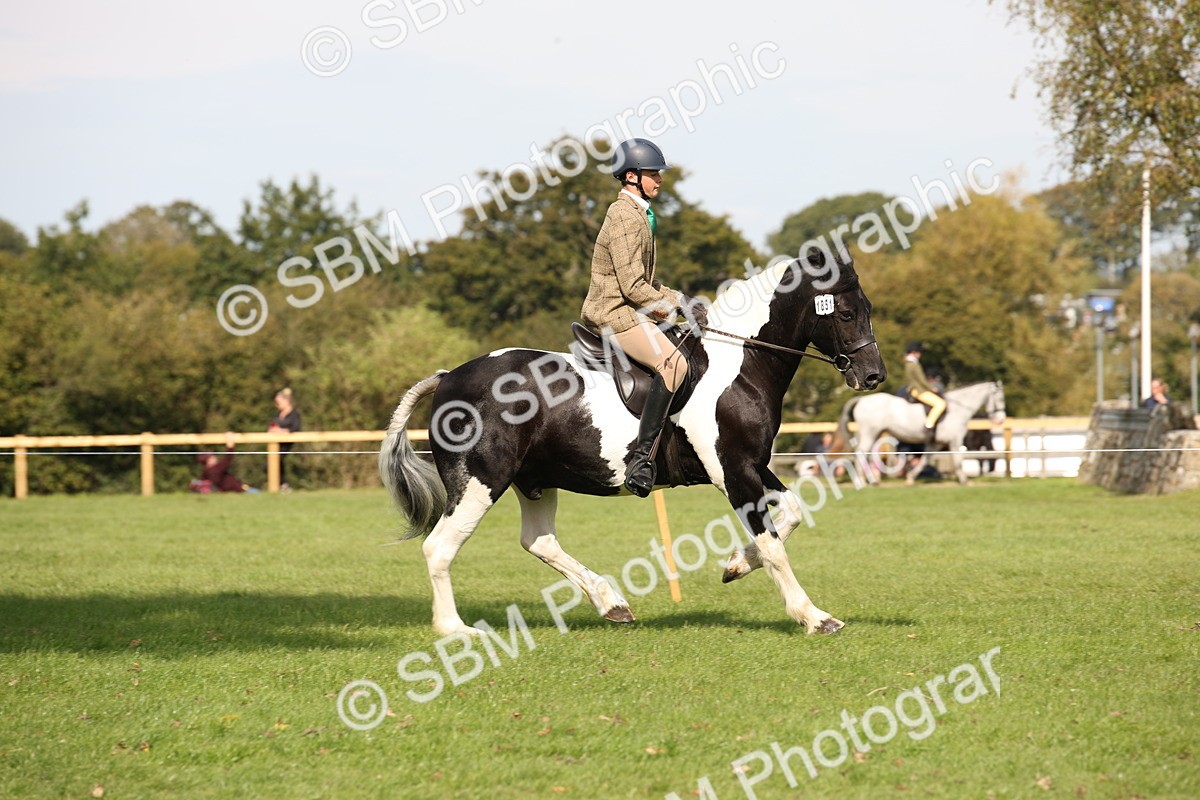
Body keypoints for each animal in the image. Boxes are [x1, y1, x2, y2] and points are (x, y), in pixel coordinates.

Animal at [379, 248, 886, 637]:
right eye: (845, 313)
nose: (873, 377)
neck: (738, 363)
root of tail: (448, 378)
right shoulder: (734, 471)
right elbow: (774, 545)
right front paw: (814, 617)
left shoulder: (749, 465)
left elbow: (792, 513)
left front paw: (735, 565)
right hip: (480, 482)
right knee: (440, 547)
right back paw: (455, 629)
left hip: (534, 481)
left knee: (538, 541)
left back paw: (612, 603)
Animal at [836, 382, 1006, 485]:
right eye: (1000, 399)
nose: (1000, 419)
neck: (957, 409)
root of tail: (861, 399)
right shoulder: (955, 440)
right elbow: (958, 459)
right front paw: (964, 480)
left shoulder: (934, 443)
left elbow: (925, 459)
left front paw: (911, 478)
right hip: (869, 433)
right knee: (861, 454)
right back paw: (861, 481)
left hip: (875, 434)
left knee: (870, 455)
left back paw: (873, 480)